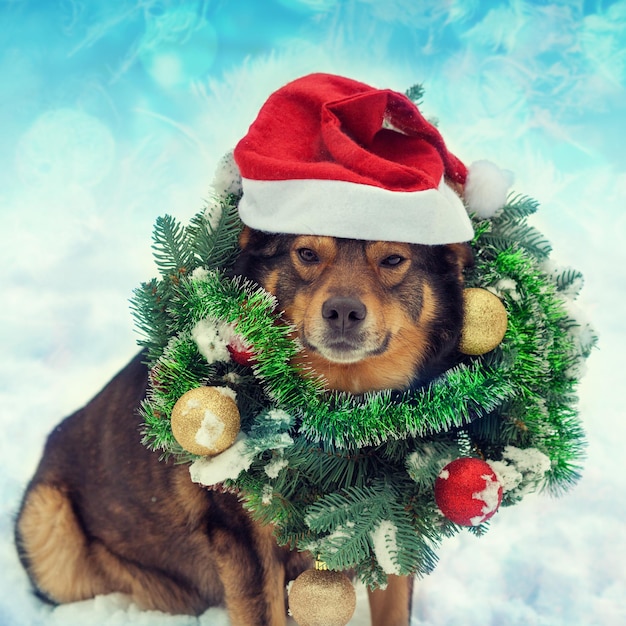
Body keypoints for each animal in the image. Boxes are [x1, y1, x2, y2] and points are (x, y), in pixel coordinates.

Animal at [14, 225, 470, 624]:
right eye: (306, 253)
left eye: (393, 259)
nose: (342, 311)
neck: (340, 420)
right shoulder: (247, 545)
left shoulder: (394, 523)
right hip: (48, 522)